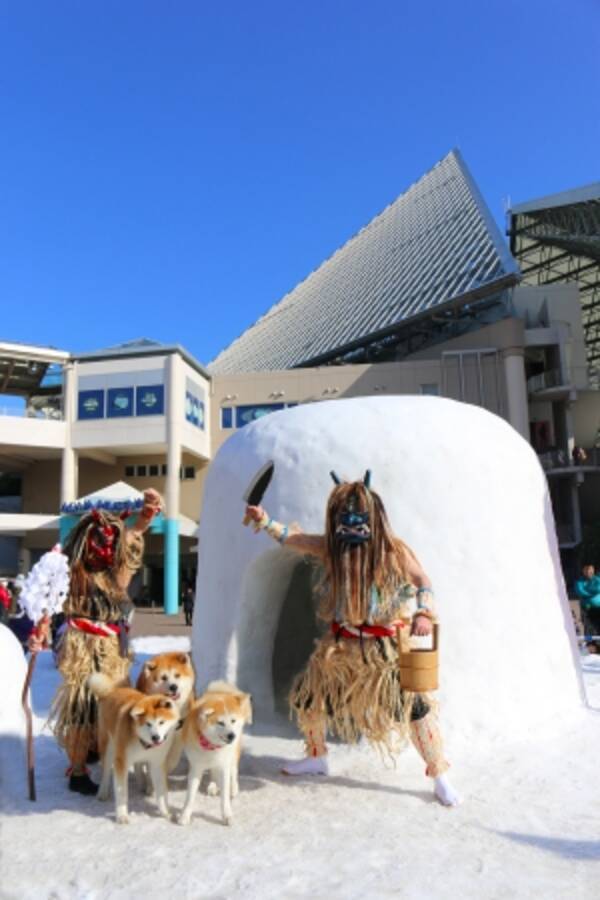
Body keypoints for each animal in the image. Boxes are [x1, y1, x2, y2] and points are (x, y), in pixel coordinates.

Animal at [88, 676, 179, 824]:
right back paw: (102, 792)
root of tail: (111, 690)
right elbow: (122, 793)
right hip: (108, 747)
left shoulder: (157, 764)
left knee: (138, 765)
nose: (155, 737)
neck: (143, 742)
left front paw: (165, 813)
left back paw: (142, 783)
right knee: (106, 772)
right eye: (148, 724)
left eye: (161, 722)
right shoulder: (121, 762)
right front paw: (122, 816)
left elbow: (160, 792)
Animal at [134, 652, 195, 792]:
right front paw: (150, 785)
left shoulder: (178, 734)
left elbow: (172, 759)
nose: (173, 686)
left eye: (177, 675)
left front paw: (165, 770)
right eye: (163, 677)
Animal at [176, 684, 251, 828]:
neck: (211, 746)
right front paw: (185, 816)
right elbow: (190, 796)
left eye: (233, 720)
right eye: (220, 723)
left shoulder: (224, 766)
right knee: (213, 772)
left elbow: (225, 797)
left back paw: (234, 788)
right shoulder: (196, 768)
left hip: (233, 755)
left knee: (234, 771)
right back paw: (212, 785)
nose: (231, 735)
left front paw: (227, 816)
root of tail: (221, 691)